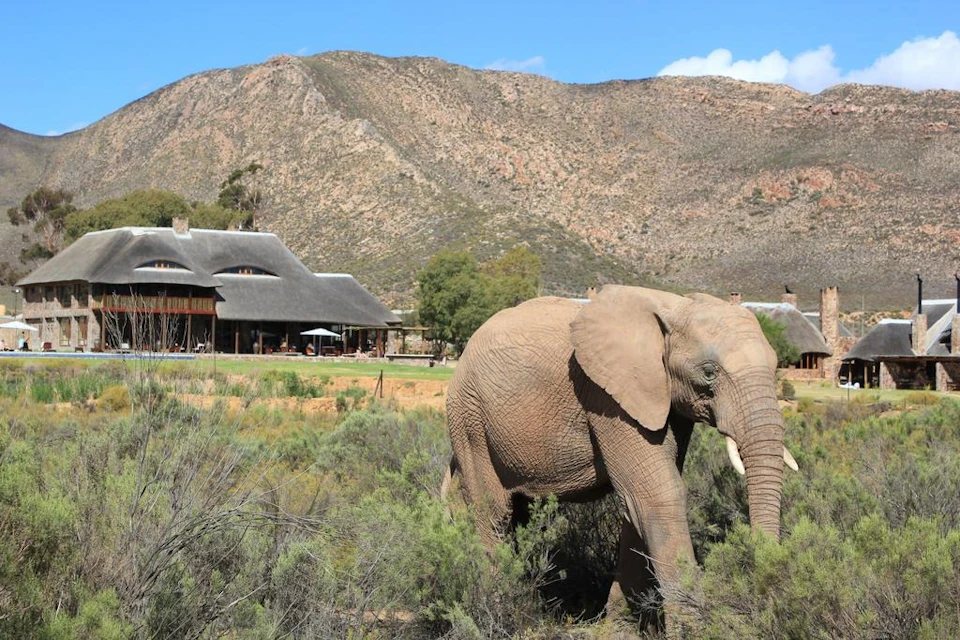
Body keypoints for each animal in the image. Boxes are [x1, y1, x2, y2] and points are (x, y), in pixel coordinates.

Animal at [443, 285, 797, 614]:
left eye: (777, 367)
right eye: (709, 372)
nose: (763, 593)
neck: (673, 306)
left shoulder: (666, 401)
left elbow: (638, 501)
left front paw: (619, 621)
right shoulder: (606, 397)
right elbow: (657, 493)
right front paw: (695, 626)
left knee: (521, 513)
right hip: (469, 418)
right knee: (493, 512)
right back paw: (501, 607)